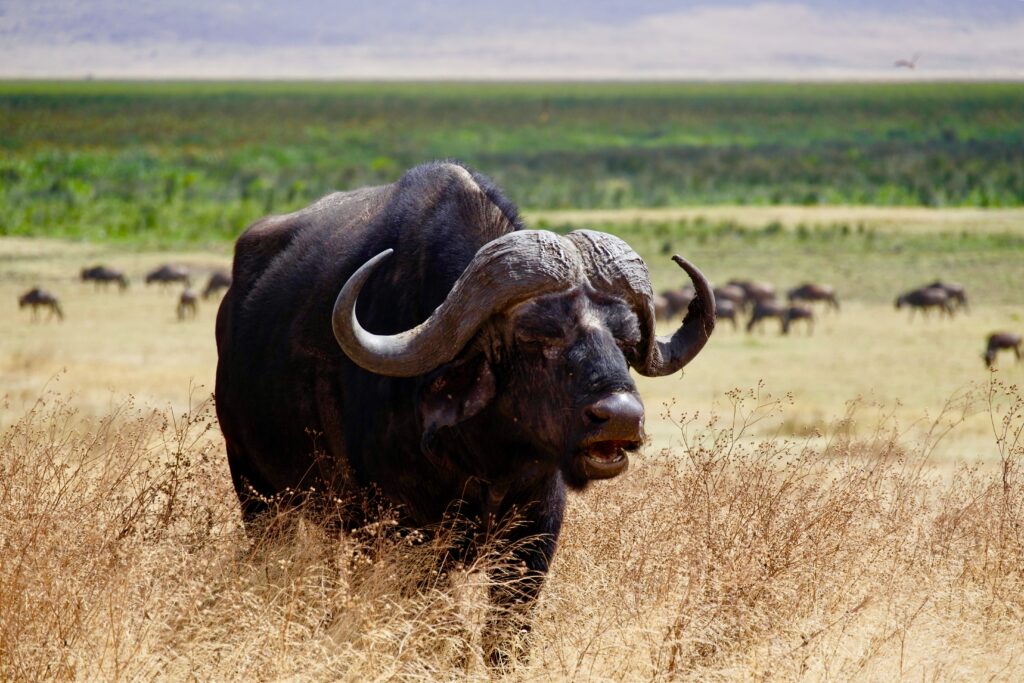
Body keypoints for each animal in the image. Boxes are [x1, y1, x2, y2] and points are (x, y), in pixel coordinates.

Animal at [215, 162, 715, 660]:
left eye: (626, 340)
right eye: (536, 337)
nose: (622, 417)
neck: (485, 456)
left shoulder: (536, 532)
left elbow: (507, 630)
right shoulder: (403, 534)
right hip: (258, 492)